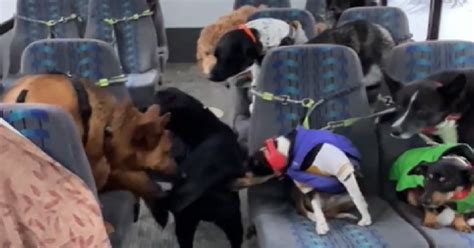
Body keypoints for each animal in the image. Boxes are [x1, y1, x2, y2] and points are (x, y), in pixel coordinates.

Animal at [243, 127, 372, 235]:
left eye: (250, 165)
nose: (242, 173)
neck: (286, 150)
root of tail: (328, 205)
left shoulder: (344, 171)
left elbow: (357, 198)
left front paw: (366, 218)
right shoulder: (305, 182)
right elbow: (315, 204)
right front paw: (321, 224)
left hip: (345, 199)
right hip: (297, 189)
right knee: (302, 208)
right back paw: (313, 215)